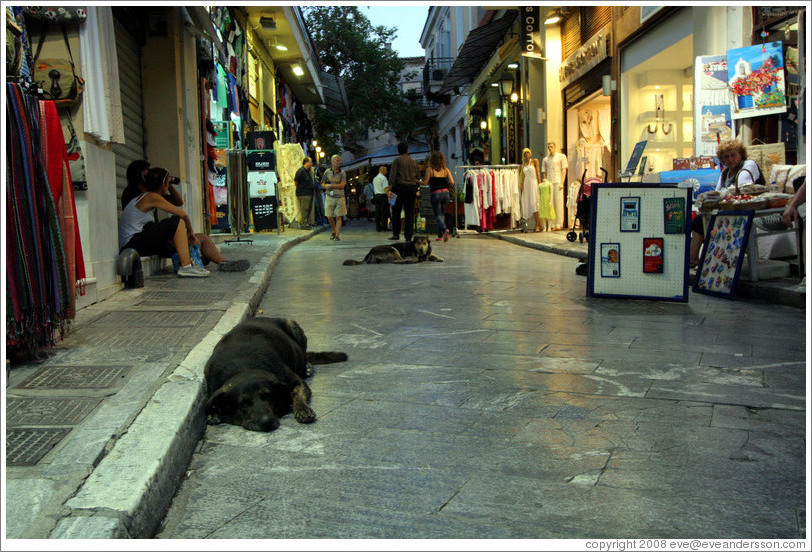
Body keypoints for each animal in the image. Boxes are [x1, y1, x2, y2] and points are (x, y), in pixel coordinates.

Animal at [205, 314, 348, 432]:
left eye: (268, 396)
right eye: (243, 403)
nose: (266, 421)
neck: (244, 368)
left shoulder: (297, 382)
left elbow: (298, 395)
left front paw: (302, 409)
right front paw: (215, 414)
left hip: (292, 325)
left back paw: (307, 367)